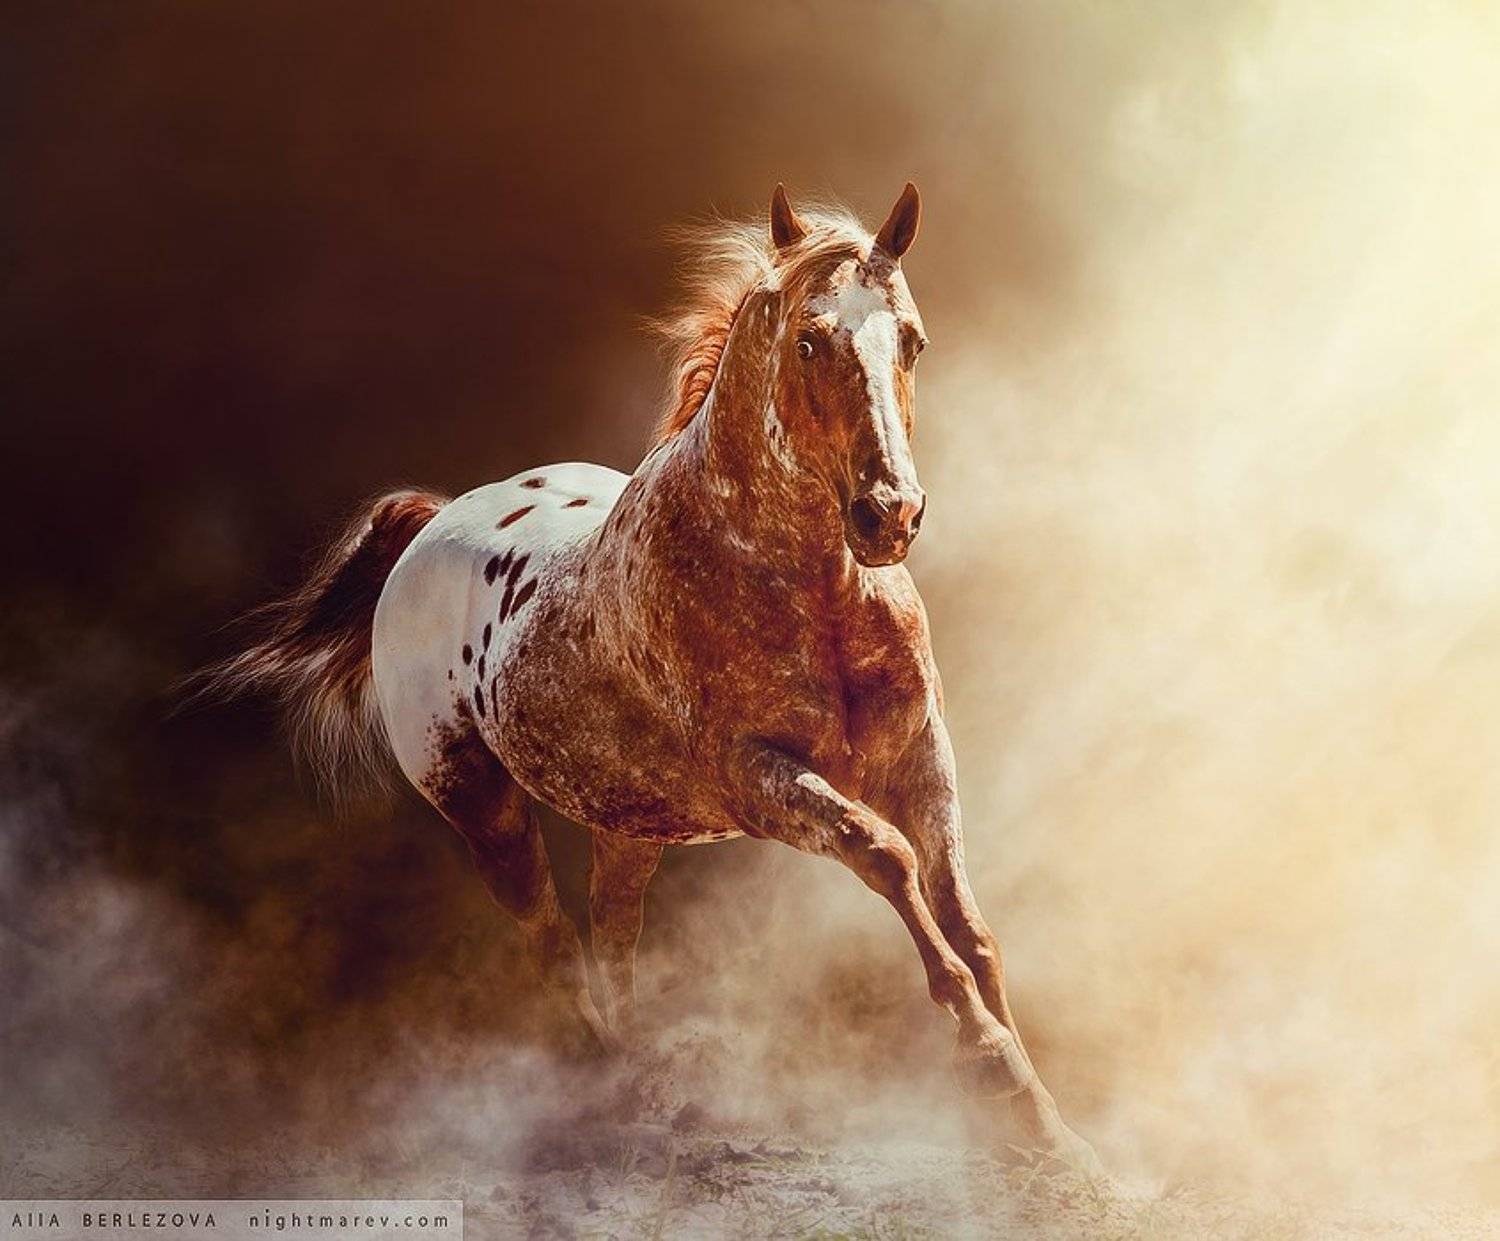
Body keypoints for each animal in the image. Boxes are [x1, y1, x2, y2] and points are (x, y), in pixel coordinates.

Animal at [206, 183, 1098, 1169]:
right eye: (809, 341)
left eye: (913, 339)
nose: (888, 515)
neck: (812, 591)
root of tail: (431, 525)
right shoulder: (760, 778)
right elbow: (887, 858)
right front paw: (991, 1062)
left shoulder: (921, 758)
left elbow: (964, 915)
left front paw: (1049, 1123)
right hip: (484, 810)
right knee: (553, 942)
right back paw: (599, 1086)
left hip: (627, 824)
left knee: (614, 929)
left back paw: (639, 1082)